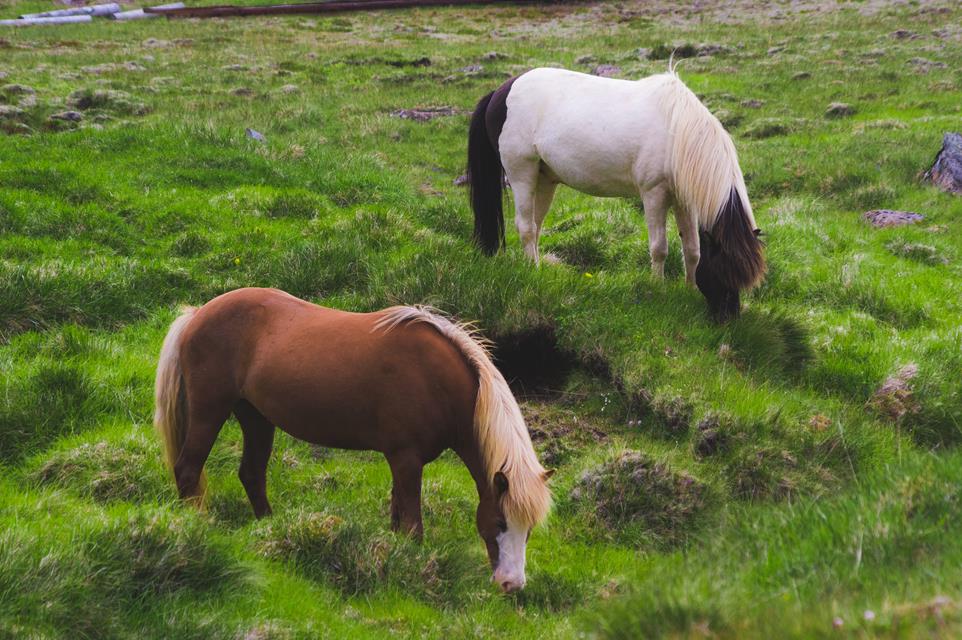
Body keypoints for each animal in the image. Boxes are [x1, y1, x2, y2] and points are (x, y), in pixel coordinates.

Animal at [153, 287, 551, 593]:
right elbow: (413, 526)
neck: (436, 379)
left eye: (529, 529)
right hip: (210, 409)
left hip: (256, 418)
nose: (512, 584)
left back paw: (270, 527)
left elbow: (397, 517)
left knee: (251, 474)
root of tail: (198, 314)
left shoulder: (401, 461)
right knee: (188, 469)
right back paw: (197, 527)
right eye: (499, 523)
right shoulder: (406, 459)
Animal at [467, 66, 766, 321]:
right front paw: (658, 289)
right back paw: (534, 270)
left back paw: (535, 267)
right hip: (522, 173)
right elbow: (659, 248)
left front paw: (690, 289)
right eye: (724, 271)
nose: (728, 318)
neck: (677, 132)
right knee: (526, 227)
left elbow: (692, 249)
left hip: (544, 180)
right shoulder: (654, 194)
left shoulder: (684, 201)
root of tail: (501, 91)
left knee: (535, 226)